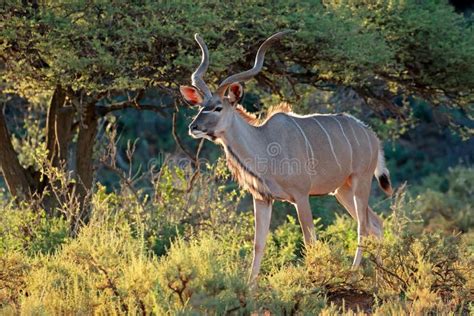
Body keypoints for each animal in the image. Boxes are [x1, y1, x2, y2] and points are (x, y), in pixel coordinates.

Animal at [181, 32, 392, 282]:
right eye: (200, 106)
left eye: (217, 108)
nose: (194, 127)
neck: (265, 146)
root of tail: (372, 136)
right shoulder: (262, 198)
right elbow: (258, 244)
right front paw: (250, 286)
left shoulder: (301, 196)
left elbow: (310, 241)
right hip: (343, 190)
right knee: (375, 224)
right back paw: (381, 276)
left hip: (361, 181)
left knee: (363, 227)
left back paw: (353, 274)